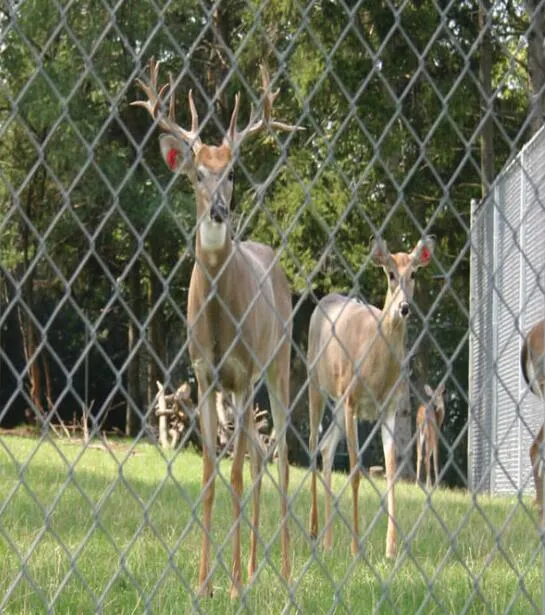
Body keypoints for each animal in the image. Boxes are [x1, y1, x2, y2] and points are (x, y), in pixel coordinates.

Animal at [133, 57, 302, 596]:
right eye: (196, 176)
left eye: (231, 173)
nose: (219, 210)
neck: (217, 320)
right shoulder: (205, 373)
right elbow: (211, 473)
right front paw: (206, 583)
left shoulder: (245, 371)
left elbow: (234, 476)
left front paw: (230, 586)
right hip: (236, 387)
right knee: (257, 453)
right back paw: (252, 566)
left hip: (279, 362)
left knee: (282, 455)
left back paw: (283, 573)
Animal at [306, 235, 434, 560]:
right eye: (390, 274)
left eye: (414, 273)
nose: (404, 307)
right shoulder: (352, 400)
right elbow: (354, 472)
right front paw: (355, 546)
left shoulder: (389, 407)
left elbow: (390, 472)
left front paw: (391, 549)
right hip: (316, 383)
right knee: (313, 443)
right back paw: (313, 531)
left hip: (338, 404)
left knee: (326, 447)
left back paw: (327, 541)